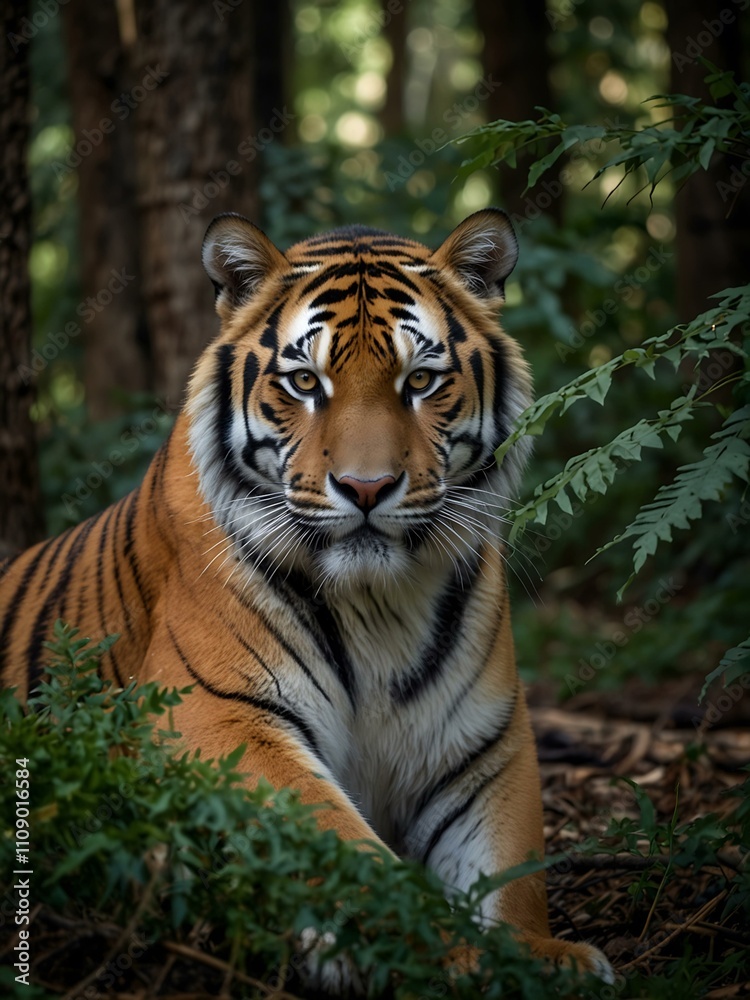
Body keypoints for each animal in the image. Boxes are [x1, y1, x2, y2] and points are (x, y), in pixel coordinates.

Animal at [0, 209, 613, 987]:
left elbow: (512, 874)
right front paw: (443, 951)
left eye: (421, 380)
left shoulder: (484, 746)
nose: (366, 488)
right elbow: (344, 844)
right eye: (303, 381)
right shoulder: (214, 715)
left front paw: (540, 956)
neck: (378, 606)